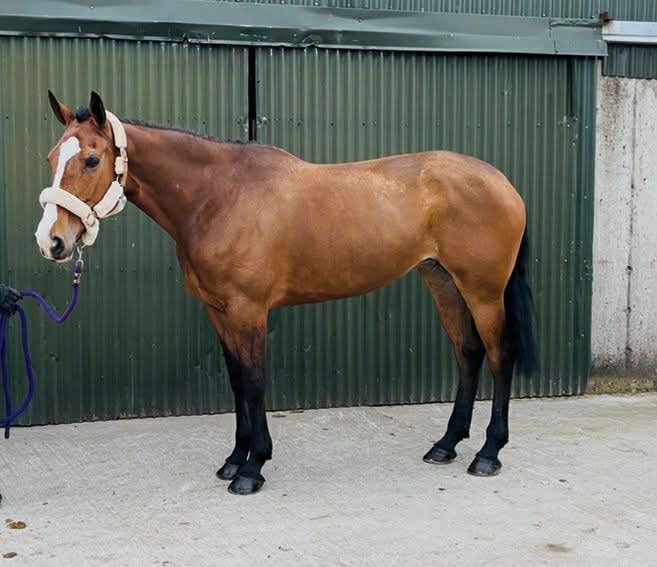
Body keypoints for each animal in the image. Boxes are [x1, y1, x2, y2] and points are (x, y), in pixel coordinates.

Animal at [35, 91, 537, 495]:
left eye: (91, 160)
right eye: (52, 157)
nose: (51, 241)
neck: (218, 196)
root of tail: (502, 182)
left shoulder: (248, 311)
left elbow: (255, 382)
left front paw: (252, 468)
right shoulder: (219, 312)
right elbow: (237, 382)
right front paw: (234, 459)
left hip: (483, 291)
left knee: (499, 356)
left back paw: (488, 453)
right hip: (443, 282)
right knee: (467, 354)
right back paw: (446, 445)